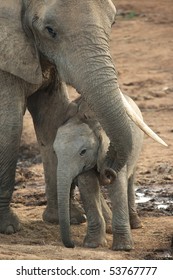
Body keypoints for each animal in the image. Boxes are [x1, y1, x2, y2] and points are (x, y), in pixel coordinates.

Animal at [54, 94, 143, 249]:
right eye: (55, 152)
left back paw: (136, 224)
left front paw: (123, 248)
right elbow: (88, 186)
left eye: (83, 152)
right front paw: (92, 244)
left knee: (130, 179)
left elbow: (118, 185)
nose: (72, 244)